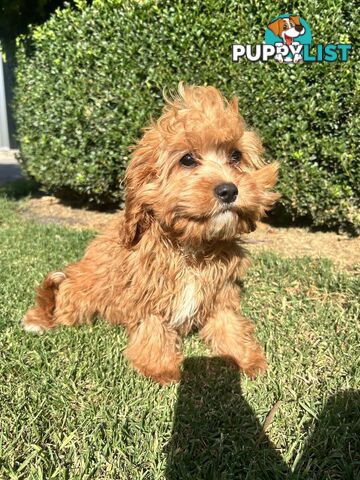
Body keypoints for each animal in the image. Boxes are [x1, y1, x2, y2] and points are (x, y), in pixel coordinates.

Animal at [22, 84, 280, 386]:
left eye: (236, 156)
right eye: (187, 159)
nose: (229, 190)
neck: (191, 248)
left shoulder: (220, 292)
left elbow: (228, 323)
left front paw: (244, 357)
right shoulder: (148, 293)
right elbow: (153, 328)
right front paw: (160, 367)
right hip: (80, 295)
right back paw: (40, 318)